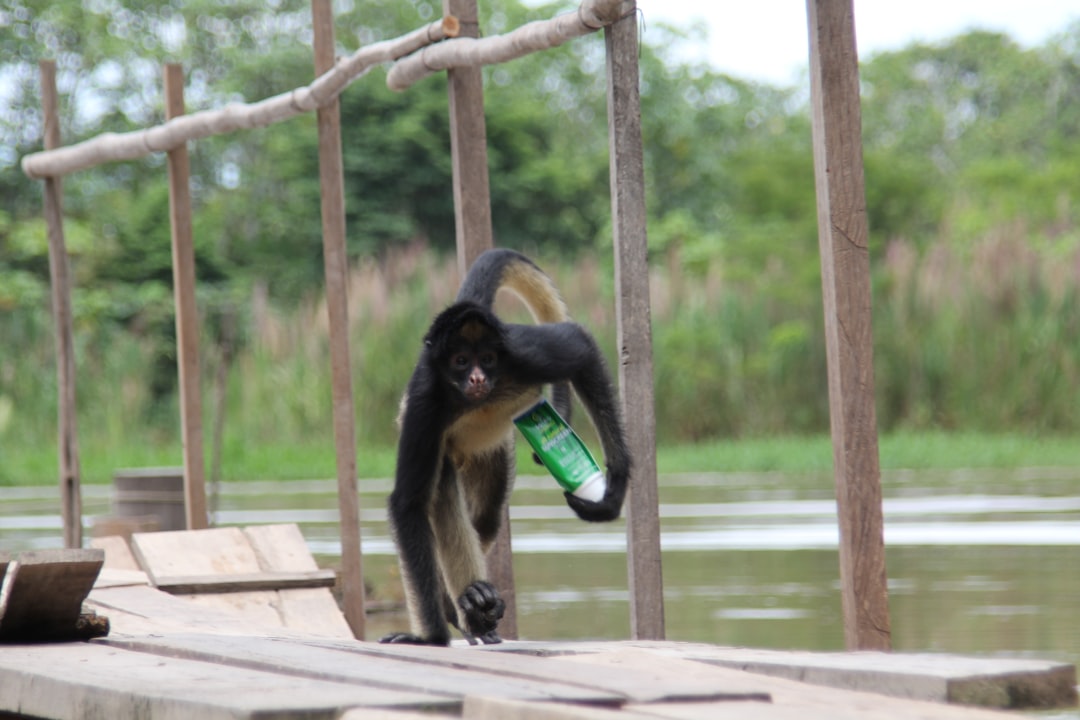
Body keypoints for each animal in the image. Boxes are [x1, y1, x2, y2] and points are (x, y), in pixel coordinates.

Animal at [382, 248, 630, 647]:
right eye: (461, 361)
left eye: (487, 359)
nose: (477, 378)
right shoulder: (424, 404)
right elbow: (408, 503)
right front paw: (430, 638)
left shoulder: (519, 354)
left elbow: (582, 348)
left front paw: (615, 486)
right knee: (443, 491)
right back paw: (466, 604)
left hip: (492, 452)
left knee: (485, 517)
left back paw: (467, 604)